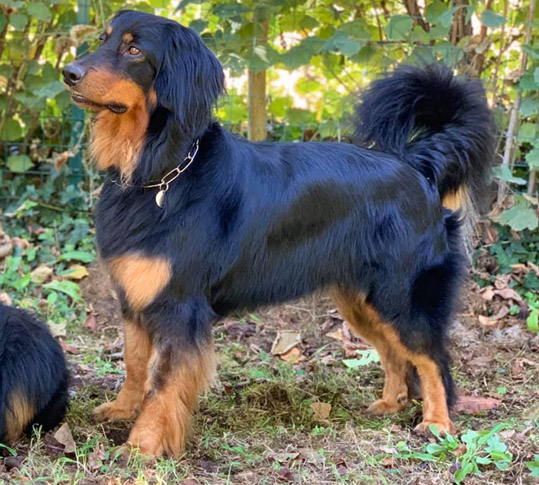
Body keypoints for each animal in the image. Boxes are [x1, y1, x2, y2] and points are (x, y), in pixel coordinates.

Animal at [62, 10, 495, 457]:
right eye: (103, 39)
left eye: (134, 50)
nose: (68, 72)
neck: (161, 172)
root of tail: (417, 167)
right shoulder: (135, 296)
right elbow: (134, 363)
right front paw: (122, 409)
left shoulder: (180, 306)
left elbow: (162, 381)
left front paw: (142, 446)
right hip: (362, 299)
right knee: (395, 353)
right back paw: (391, 403)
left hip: (400, 296)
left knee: (432, 358)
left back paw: (437, 422)